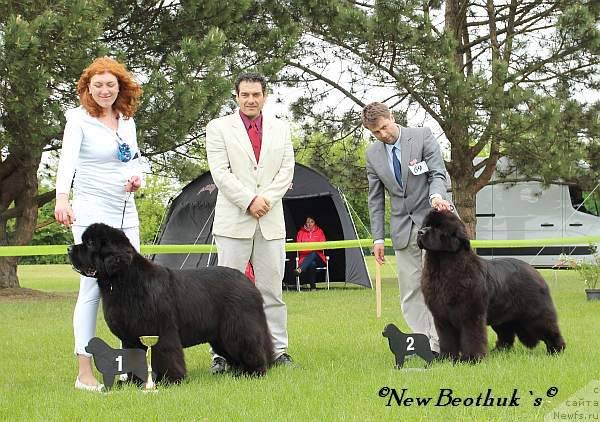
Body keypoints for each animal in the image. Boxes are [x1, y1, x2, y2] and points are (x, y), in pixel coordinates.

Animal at [69, 224, 274, 382]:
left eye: (90, 243)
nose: (69, 248)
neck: (123, 281)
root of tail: (248, 282)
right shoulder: (130, 337)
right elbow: (133, 358)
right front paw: (134, 382)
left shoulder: (161, 331)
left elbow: (165, 354)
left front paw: (171, 379)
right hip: (220, 335)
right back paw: (238, 372)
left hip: (238, 327)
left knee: (250, 346)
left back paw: (255, 372)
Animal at [414, 211, 564, 362]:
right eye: (426, 225)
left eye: (438, 227)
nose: (420, 232)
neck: (443, 267)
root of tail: (535, 271)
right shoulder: (442, 317)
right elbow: (447, 339)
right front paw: (447, 358)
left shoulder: (471, 314)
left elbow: (472, 337)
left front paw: (472, 359)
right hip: (503, 316)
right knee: (506, 334)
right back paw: (499, 351)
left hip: (534, 314)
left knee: (550, 330)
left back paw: (556, 351)